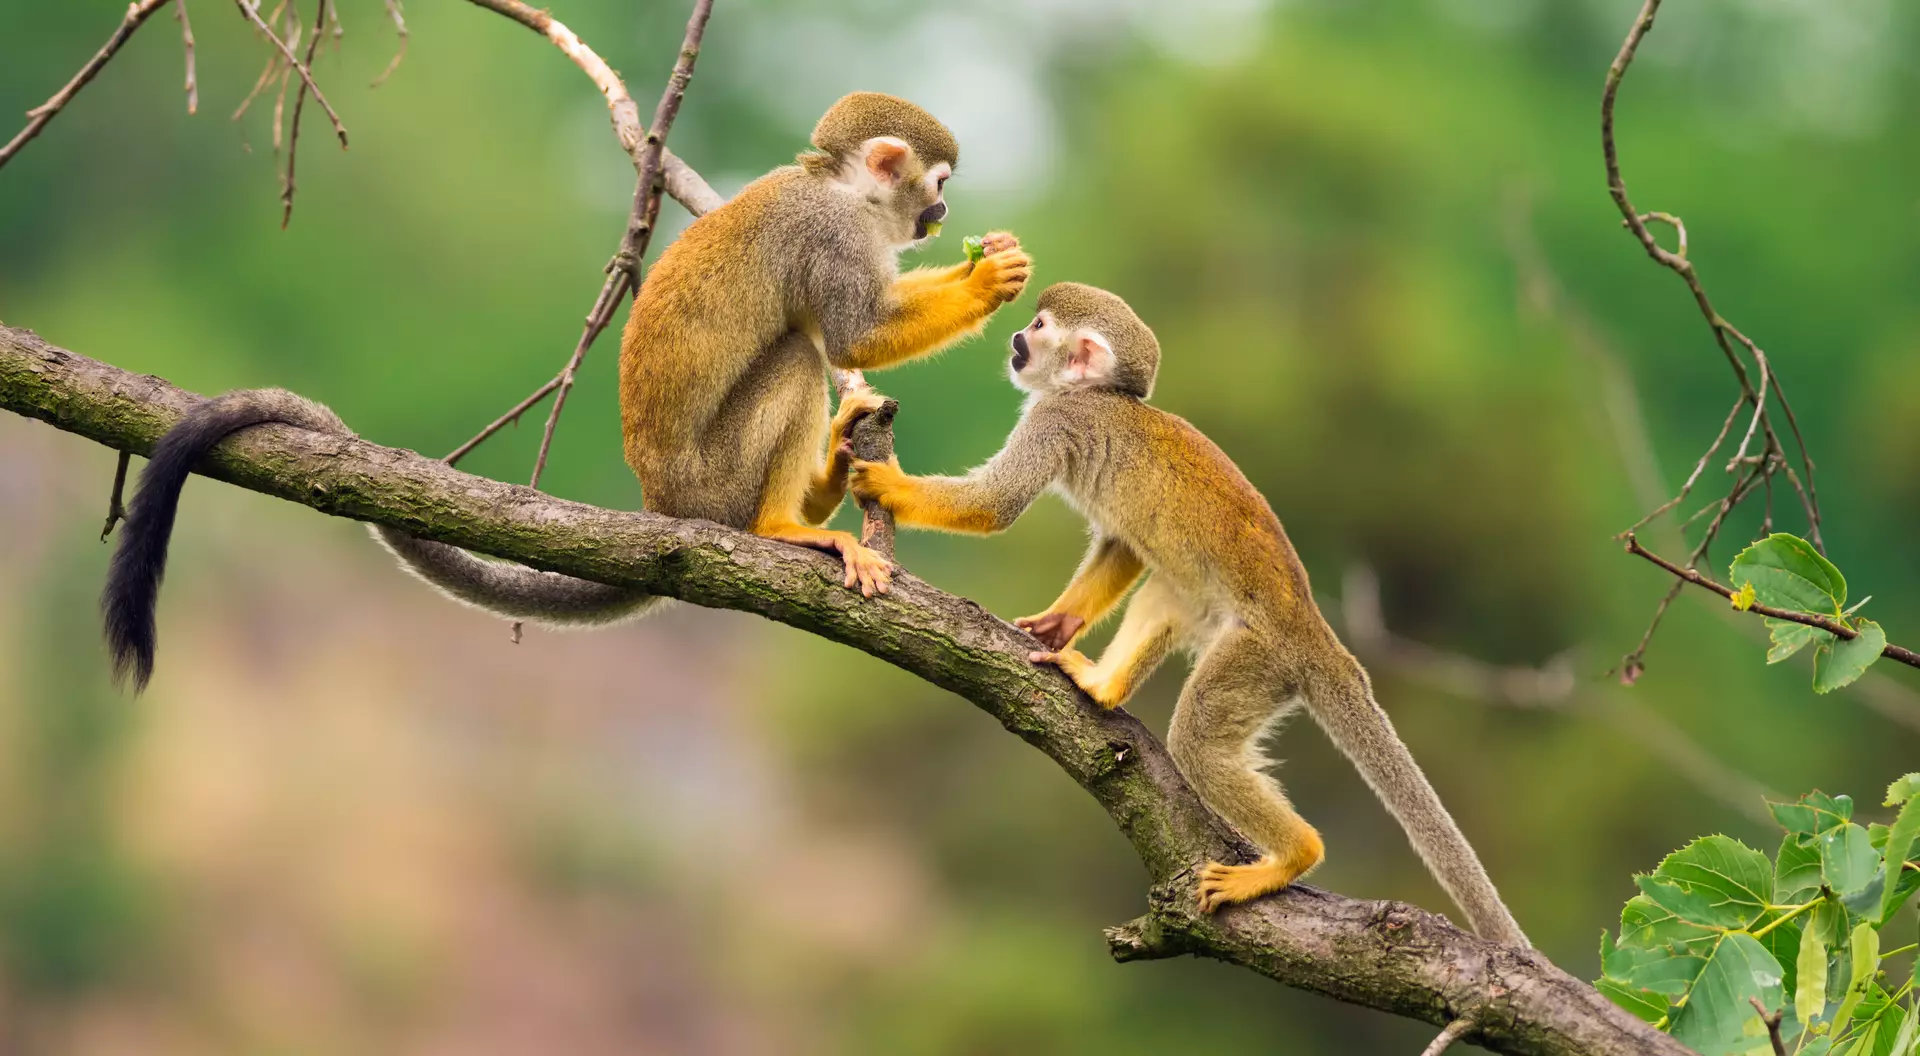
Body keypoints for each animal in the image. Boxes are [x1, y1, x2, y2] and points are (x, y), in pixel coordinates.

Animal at [101, 92, 1031, 691]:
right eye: (938, 183)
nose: (943, 215)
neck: (843, 192)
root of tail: (663, 508)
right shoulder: (830, 236)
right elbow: (850, 335)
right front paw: (990, 281)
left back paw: (832, 471)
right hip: (714, 482)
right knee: (798, 357)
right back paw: (782, 526)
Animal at [845, 282, 1528, 945]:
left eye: (1038, 328)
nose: (1015, 338)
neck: (1097, 396)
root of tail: (1320, 637)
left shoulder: (1057, 420)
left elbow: (996, 505)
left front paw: (887, 485)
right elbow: (1121, 545)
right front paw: (1058, 623)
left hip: (1260, 658)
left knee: (1198, 738)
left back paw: (1293, 856)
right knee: (1167, 589)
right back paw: (1104, 686)